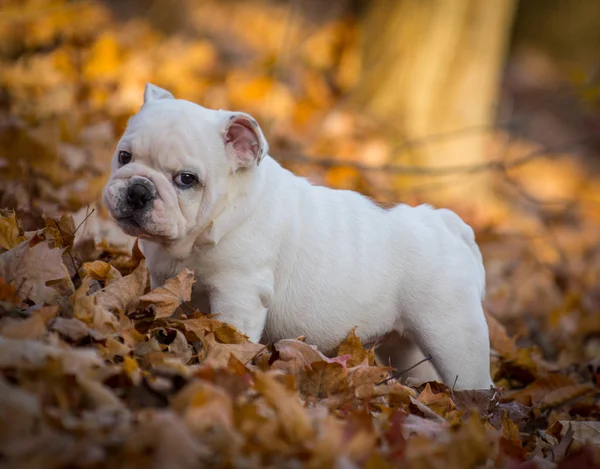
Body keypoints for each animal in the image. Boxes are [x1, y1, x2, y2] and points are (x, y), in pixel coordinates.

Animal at [103, 83, 494, 388]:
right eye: (123, 156)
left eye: (186, 179)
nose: (139, 190)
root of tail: (448, 224)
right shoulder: (166, 277)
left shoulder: (239, 292)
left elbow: (229, 333)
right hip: (407, 342)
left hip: (452, 334)